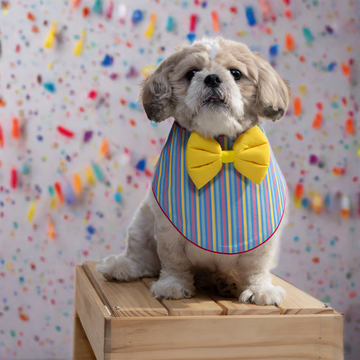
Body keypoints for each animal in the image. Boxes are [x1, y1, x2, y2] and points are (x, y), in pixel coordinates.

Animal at [97, 38, 292, 306]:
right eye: (191, 73)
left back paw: (226, 281)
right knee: (142, 257)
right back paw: (120, 266)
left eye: (236, 73)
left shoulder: (264, 231)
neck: (220, 147)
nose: (212, 78)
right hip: (142, 222)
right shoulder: (168, 227)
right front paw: (173, 285)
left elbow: (256, 266)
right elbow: (173, 260)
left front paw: (260, 289)